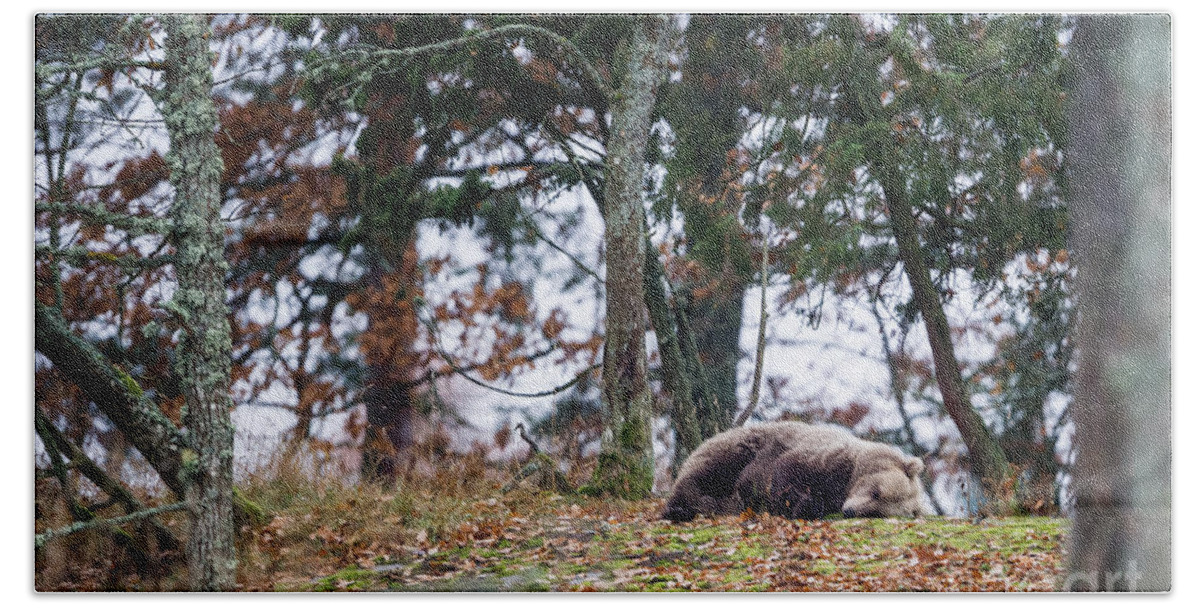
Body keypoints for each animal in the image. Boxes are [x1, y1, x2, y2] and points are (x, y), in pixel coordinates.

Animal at [657, 422, 926, 520]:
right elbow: (780, 477)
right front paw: (801, 503)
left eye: (877, 511)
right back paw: (682, 507)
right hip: (737, 446)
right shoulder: (816, 457)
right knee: (705, 474)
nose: (849, 510)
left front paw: (806, 506)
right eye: (876, 491)